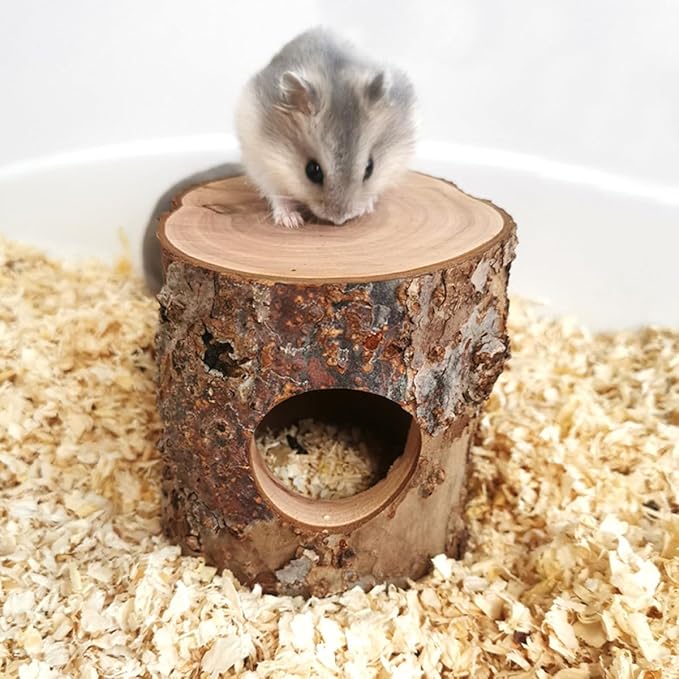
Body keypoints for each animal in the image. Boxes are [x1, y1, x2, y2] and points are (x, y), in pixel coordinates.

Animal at [235, 27, 417, 228]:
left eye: (370, 168)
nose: (339, 220)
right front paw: (292, 222)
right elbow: (279, 197)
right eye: (312, 171)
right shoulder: (264, 165)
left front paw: (365, 208)